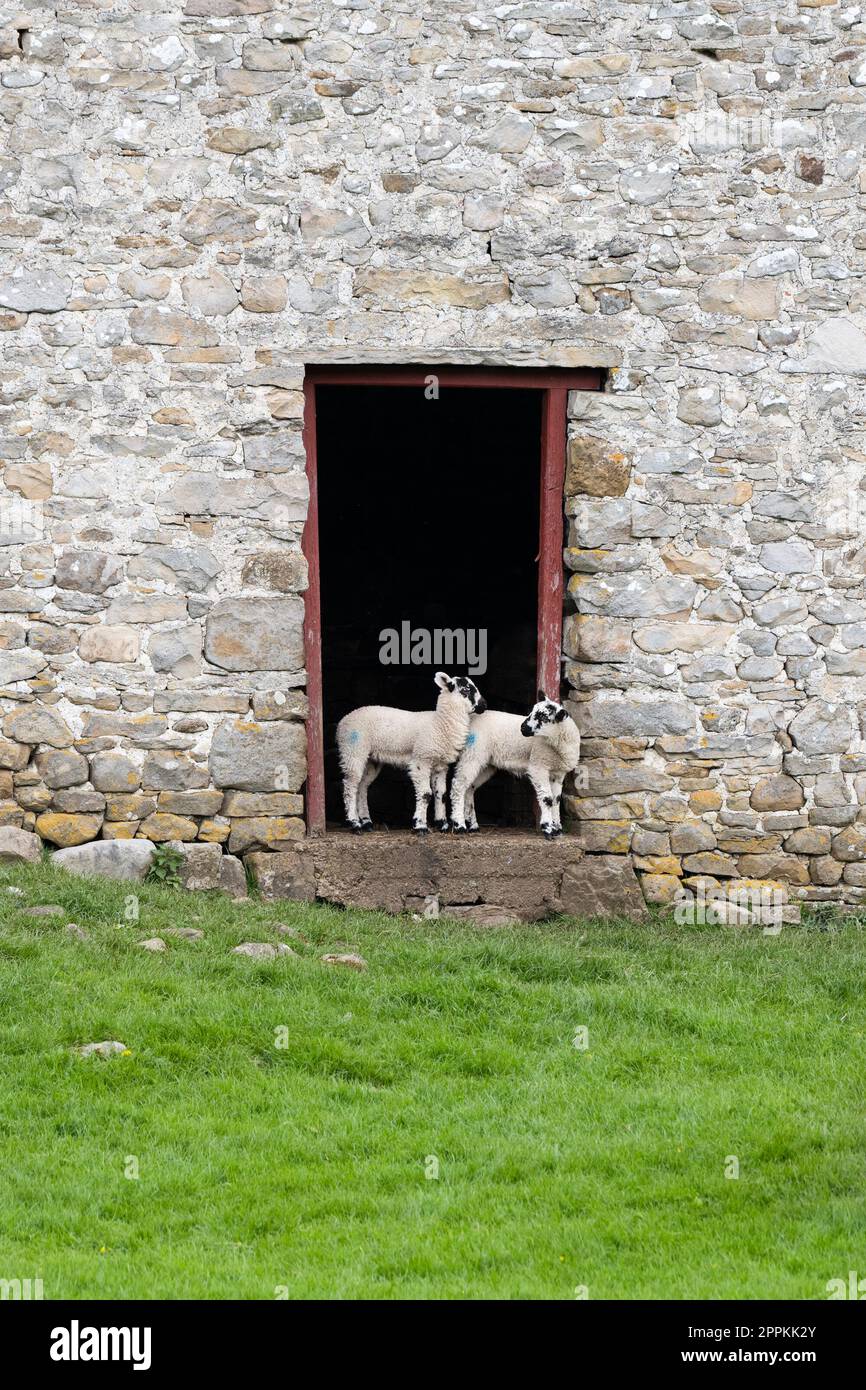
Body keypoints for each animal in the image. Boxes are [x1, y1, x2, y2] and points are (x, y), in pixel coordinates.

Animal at [337, 675, 489, 834]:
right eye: (466, 689)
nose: (484, 705)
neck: (440, 723)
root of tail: (342, 722)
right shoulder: (421, 759)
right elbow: (425, 794)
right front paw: (420, 826)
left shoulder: (440, 765)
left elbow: (441, 794)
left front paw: (442, 824)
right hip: (353, 750)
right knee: (350, 786)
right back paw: (354, 823)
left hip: (371, 759)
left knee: (362, 787)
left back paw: (366, 823)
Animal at [447, 692, 583, 834]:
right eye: (532, 711)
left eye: (543, 716)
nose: (522, 728)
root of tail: (470, 719)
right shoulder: (538, 766)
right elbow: (547, 799)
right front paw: (548, 828)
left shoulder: (558, 773)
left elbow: (556, 800)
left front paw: (557, 828)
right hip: (472, 753)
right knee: (458, 785)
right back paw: (459, 825)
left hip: (486, 764)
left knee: (469, 788)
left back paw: (473, 825)